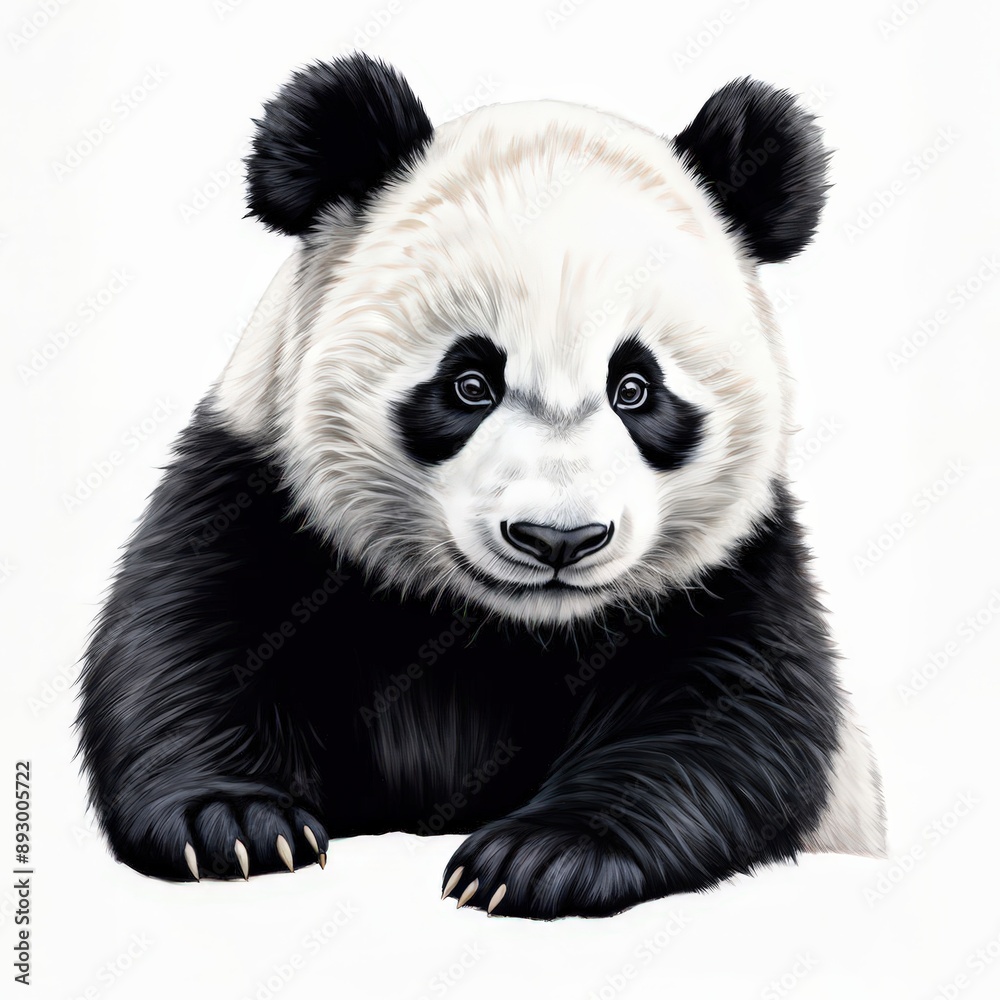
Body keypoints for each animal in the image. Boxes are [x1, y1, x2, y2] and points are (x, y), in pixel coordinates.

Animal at [78, 53, 885, 919]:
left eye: (636, 388)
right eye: (470, 383)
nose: (558, 539)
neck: (503, 627)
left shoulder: (731, 565)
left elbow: (728, 713)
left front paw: (538, 856)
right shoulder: (260, 491)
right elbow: (186, 652)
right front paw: (235, 821)